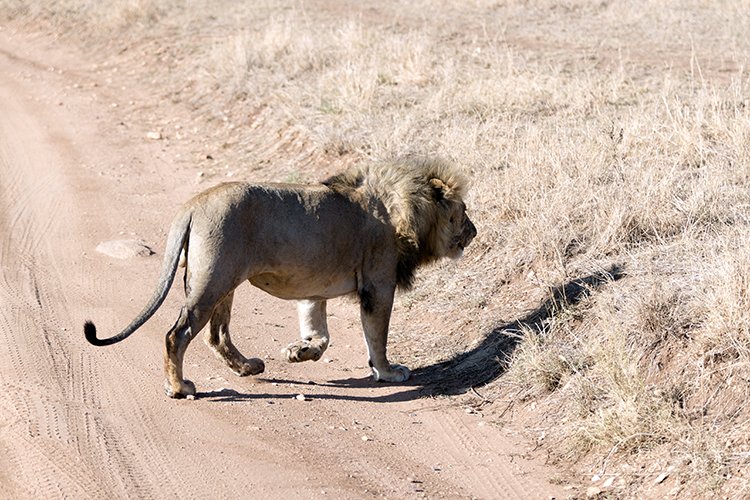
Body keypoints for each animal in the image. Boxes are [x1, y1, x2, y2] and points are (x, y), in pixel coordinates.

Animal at [85, 156, 478, 398]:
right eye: (463, 212)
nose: (474, 232)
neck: (400, 206)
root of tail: (194, 204)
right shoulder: (378, 286)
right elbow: (376, 338)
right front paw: (388, 372)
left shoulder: (313, 289)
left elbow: (320, 332)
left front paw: (300, 351)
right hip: (212, 281)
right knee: (177, 334)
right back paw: (180, 388)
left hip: (222, 281)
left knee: (217, 333)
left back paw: (247, 367)